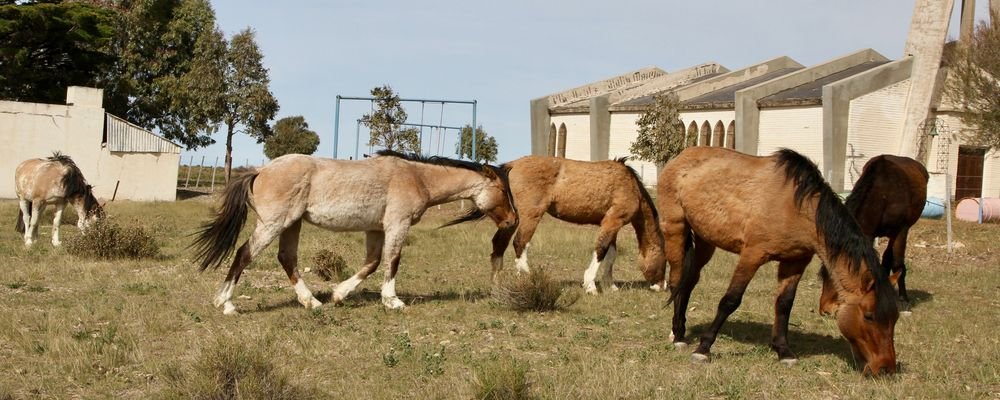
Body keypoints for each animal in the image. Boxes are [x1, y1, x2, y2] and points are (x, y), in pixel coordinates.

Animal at [191, 150, 520, 316]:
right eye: (503, 190)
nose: (513, 221)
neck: (417, 177)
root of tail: (261, 170)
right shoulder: (397, 225)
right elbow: (392, 261)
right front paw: (392, 301)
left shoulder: (376, 229)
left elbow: (372, 263)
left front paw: (339, 294)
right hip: (274, 223)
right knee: (244, 254)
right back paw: (226, 304)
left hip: (292, 224)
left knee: (287, 259)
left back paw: (312, 302)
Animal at [446, 156, 664, 294]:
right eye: (665, 260)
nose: (661, 286)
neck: (630, 185)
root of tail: (512, 166)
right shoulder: (613, 220)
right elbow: (601, 250)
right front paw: (590, 285)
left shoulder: (612, 225)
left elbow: (610, 254)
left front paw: (610, 285)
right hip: (529, 216)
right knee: (519, 243)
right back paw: (529, 277)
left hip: (511, 219)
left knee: (499, 244)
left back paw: (497, 283)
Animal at [660, 146, 904, 376]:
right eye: (869, 316)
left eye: (895, 318)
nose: (886, 368)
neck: (798, 208)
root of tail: (680, 157)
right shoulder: (751, 255)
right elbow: (730, 300)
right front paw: (704, 348)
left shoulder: (795, 262)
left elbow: (784, 304)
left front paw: (783, 351)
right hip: (676, 230)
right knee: (676, 281)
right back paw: (678, 335)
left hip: (705, 240)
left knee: (689, 282)